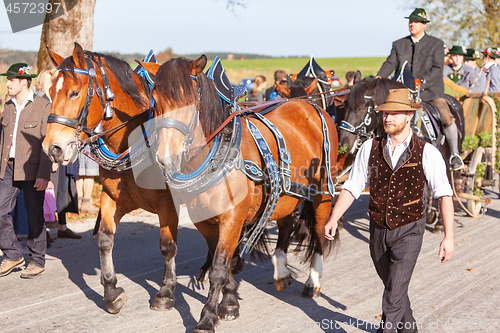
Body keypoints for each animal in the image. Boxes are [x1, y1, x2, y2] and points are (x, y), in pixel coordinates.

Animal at [41, 43, 180, 314]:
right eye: (51, 92)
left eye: (74, 93)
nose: (52, 148)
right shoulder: (111, 197)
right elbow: (105, 239)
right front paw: (111, 291)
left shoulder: (168, 204)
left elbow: (167, 246)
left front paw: (166, 292)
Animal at [142, 55, 340, 330]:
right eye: (155, 100)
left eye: (190, 100)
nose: (166, 157)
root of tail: (310, 106)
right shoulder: (204, 220)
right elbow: (224, 261)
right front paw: (229, 301)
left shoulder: (232, 218)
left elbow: (219, 266)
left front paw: (207, 317)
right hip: (284, 193)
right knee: (286, 224)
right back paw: (282, 271)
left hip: (323, 192)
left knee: (320, 231)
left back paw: (313, 282)